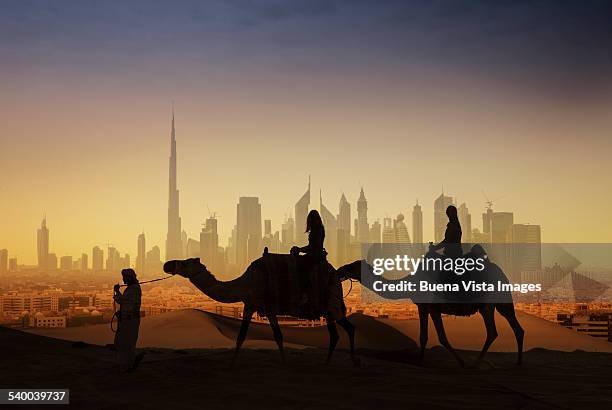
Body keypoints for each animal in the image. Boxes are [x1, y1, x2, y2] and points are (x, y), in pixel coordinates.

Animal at [163, 253, 364, 366]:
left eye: (185, 263)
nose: (167, 264)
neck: (245, 283)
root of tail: (336, 276)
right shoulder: (250, 305)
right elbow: (241, 336)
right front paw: (232, 362)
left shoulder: (268, 307)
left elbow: (277, 336)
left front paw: (284, 363)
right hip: (330, 308)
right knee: (340, 332)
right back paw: (337, 361)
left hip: (331, 304)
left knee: (344, 330)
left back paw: (340, 361)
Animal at [338, 251, 524, 366]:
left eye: (353, 266)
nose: (339, 270)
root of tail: (502, 274)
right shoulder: (427, 308)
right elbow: (430, 337)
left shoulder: (430, 307)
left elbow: (435, 337)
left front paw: (459, 363)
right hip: (501, 302)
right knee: (516, 327)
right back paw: (518, 362)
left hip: (487, 304)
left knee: (493, 331)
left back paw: (476, 363)